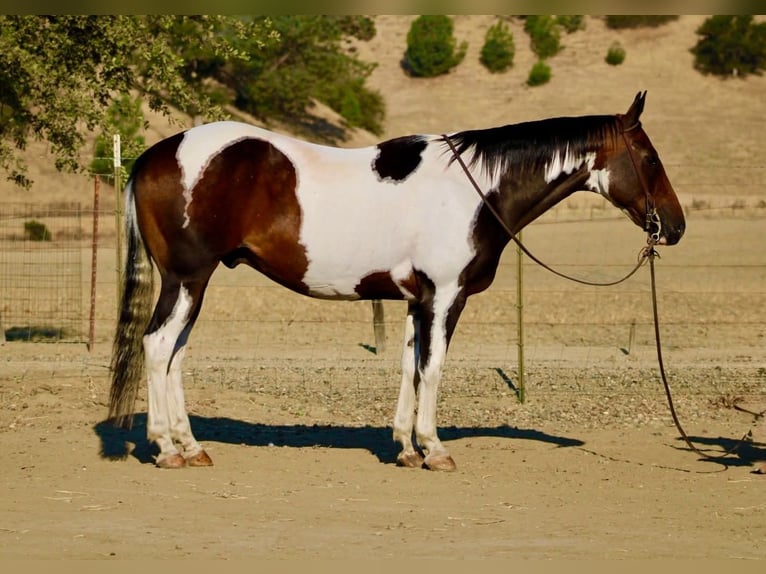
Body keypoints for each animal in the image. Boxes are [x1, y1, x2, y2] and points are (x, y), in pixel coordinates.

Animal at [109, 91, 685, 470]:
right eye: (650, 158)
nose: (675, 227)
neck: (474, 189)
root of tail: (154, 155)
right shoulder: (447, 298)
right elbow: (433, 370)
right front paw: (435, 448)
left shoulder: (417, 301)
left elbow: (410, 366)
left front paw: (406, 448)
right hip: (187, 278)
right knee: (157, 346)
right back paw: (166, 449)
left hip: (194, 283)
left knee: (174, 353)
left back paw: (191, 446)